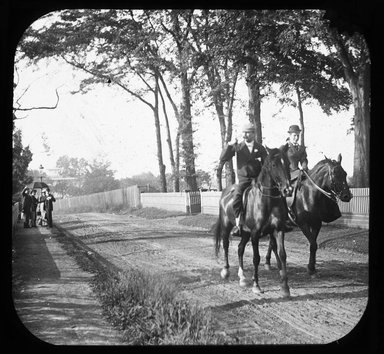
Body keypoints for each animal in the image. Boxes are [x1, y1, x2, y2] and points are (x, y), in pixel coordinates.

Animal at [214, 147, 292, 298]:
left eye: (287, 163)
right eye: (274, 164)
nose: (287, 189)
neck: (268, 201)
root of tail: (225, 191)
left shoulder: (278, 230)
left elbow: (282, 254)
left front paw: (285, 287)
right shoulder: (255, 234)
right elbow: (256, 258)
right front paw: (256, 285)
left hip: (245, 233)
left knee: (240, 248)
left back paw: (242, 277)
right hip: (226, 226)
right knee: (226, 245)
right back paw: (226, 271)